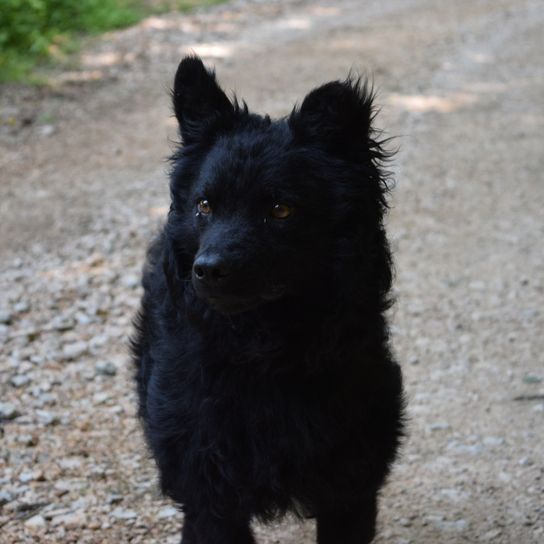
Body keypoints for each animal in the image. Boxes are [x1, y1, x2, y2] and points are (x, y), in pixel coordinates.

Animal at [132, 56, 404, 544]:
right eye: (204, 205)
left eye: (280, 210)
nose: (207, 269)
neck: (263, 355)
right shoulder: (210, 496)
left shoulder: (351, 487)